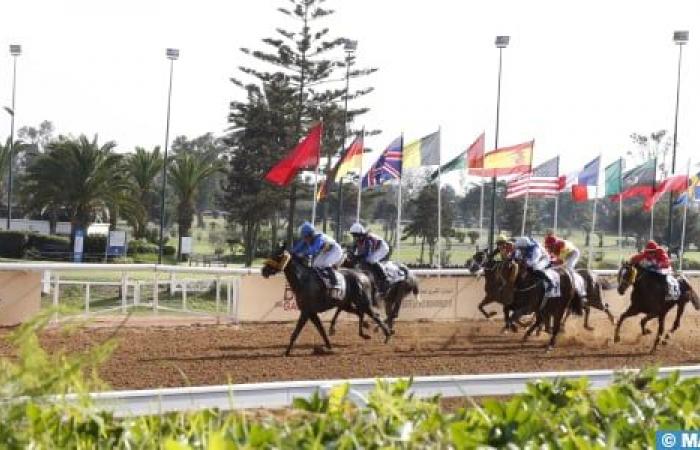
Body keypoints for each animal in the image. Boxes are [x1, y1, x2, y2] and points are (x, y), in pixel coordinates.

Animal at [260, 246, 392, 356]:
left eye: (277, 256)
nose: (263, 270)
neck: (303, 280)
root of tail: (364, 275)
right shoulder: (311, 312)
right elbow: (321, 329)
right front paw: (328, 346)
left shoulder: (306, 311)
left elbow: (296, 332)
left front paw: (286, 352)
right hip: (346, 304)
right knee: (360, 313)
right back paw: (364, 333)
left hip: (363, 302)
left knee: (375, 315)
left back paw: (387, 335)